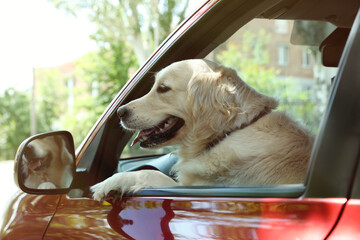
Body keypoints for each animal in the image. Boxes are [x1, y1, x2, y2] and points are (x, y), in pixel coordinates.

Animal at [91, 59, 314, 201]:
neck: (231, 131)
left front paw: (108, 183)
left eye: (163, 88)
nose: (120, 112)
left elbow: (149, 174)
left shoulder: (195, 186)